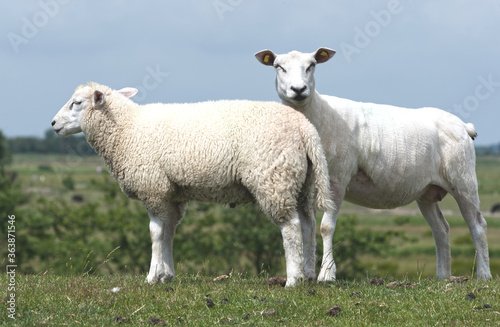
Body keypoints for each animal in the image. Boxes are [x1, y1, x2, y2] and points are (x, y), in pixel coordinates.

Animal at [50, 82, 334, 288]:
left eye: (76, 103)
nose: (53, 124)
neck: (127, 130)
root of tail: (305, 129)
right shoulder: (172, 194)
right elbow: (169, 233)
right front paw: (167, 275)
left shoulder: (154, 189)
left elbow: (155, 233)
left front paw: (152, 277)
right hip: (301, 182)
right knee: (308, 225)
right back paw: (308, 274)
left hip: (274, 179)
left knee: (291, 228)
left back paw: (293, 280)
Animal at [258, 48, 492, 282]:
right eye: (279, 66)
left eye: (312, 65)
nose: (298, 90)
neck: (320, 114)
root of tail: (463, 125)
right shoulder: (305, 186)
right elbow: (307, 229)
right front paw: (307, 274)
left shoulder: (337, 180)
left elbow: (325, 227)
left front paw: (327, 274)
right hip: (427, 191)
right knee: (441, 229)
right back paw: (442, 276)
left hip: (463, 180)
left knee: (477, 225)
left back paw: (484, 274)